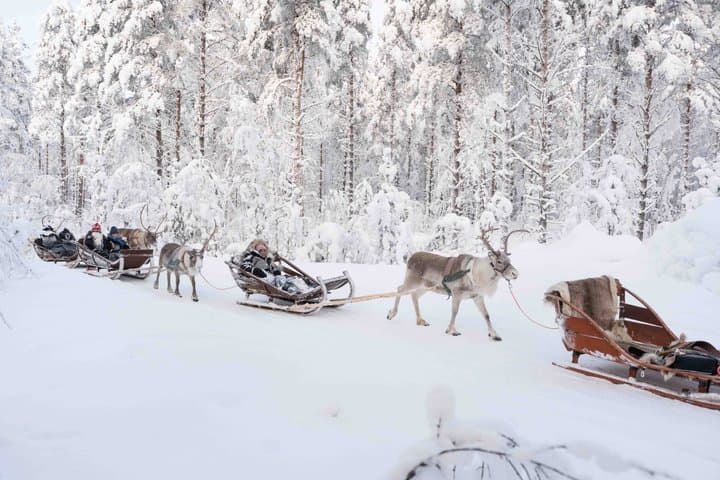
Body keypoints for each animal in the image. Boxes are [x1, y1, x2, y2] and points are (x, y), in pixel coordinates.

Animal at [386, 228, 528, 339]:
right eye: (499, 261)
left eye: (509, 259)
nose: (515, 273)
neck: (476, 274)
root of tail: (410, 257)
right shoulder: (457, 293)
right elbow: (455, 311)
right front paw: (451, 330)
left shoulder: (477, 296)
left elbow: (486, 315)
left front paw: (494, 334)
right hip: (412, 281)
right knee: (399, 289)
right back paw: (391, 314)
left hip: (425, 286)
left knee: (414, 295)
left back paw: (421, 321)